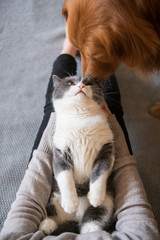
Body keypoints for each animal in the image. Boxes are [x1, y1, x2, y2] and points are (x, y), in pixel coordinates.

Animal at [39, 74, 115, 234]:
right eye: (69, 83)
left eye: (89, 83)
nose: (81, 86)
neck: (81, 118)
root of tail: (75, 218)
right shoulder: (59, 153)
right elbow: (65, 177)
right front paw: (70, 202)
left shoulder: (106, 150)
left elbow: (100, 172)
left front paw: (95, 196)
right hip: (54, 198)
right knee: (51, 213)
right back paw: (46, 224)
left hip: (107, 202)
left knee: (95, 217)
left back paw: (91, 230)